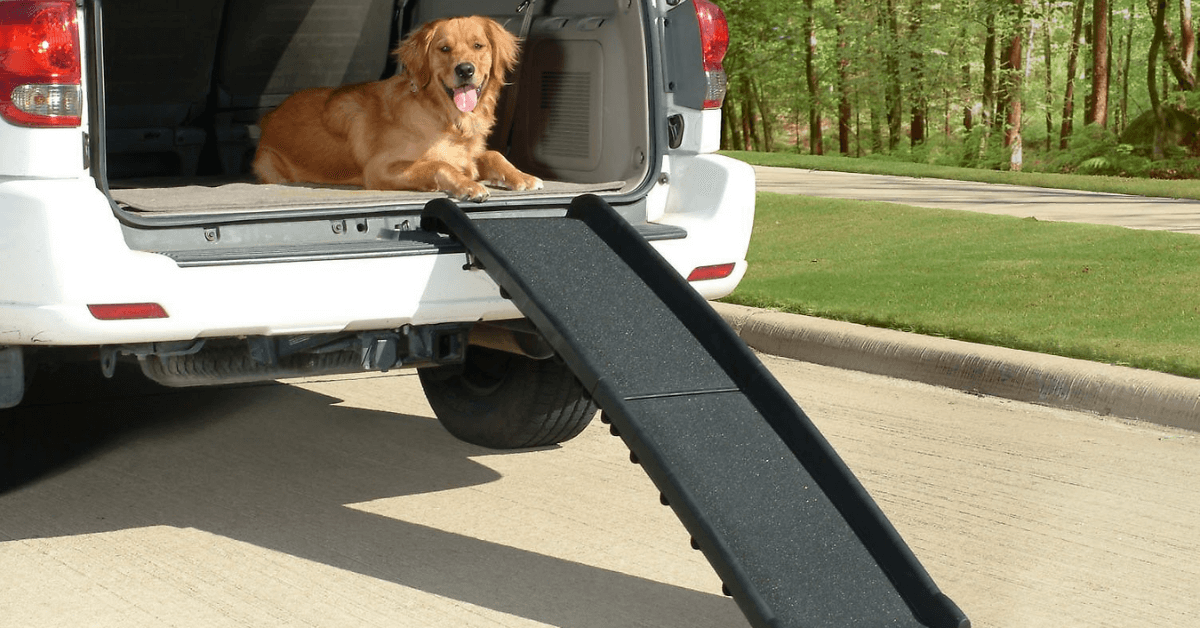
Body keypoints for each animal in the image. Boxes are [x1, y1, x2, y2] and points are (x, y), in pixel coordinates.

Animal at [255, 15, 542, 201]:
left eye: (478, 45)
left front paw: (522, 177)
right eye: (444, 48)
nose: (465, 70)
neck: (445, 117)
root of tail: (269, 116)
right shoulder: (379, 168)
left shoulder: (467, 155)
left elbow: (494, 154)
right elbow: (439, 165)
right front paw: (468, 186)